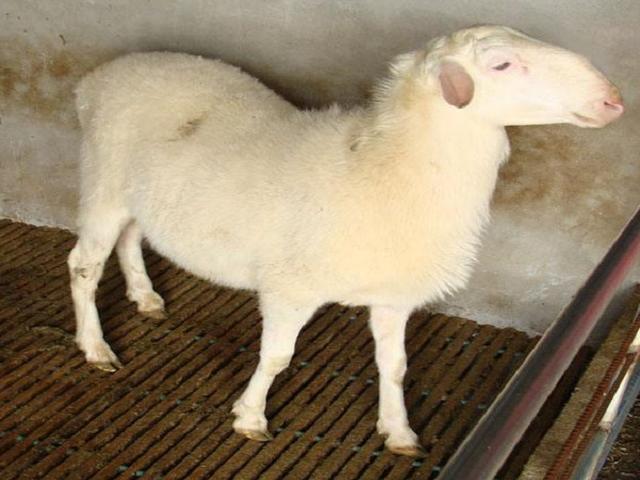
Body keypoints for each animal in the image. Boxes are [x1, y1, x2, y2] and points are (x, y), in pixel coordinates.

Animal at [68, 25, 623, 456]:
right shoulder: (290, 288)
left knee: (131, 238)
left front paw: (399, 431)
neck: (381, 166)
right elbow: (277, 358)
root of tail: (100, 77)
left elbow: (395, 367)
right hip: (103, 182)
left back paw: (145, 297)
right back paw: (96, 347)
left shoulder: (394, 296)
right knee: (83, 265)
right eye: (503, 64)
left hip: (137, 195)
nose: (612, 99)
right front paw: (250, 417)